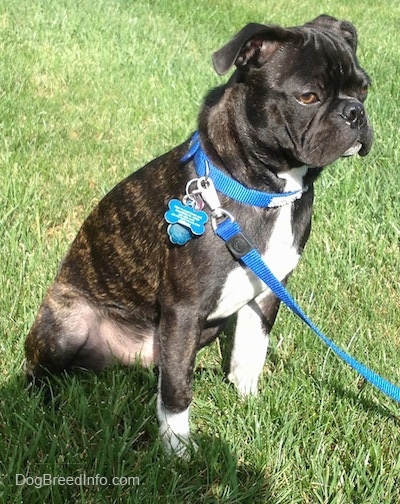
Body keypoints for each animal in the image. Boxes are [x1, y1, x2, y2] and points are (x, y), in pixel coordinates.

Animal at [25, 15, 374, 456]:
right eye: (308, 97)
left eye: (364, 89)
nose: (355, 112)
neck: (265, 191)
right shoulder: (185, 308)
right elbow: (177, 390)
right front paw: (178, 450)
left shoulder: (266, 294)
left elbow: (249, 352)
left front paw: (246, 400)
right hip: (68, 322)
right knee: (43, 369)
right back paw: (43, 401)